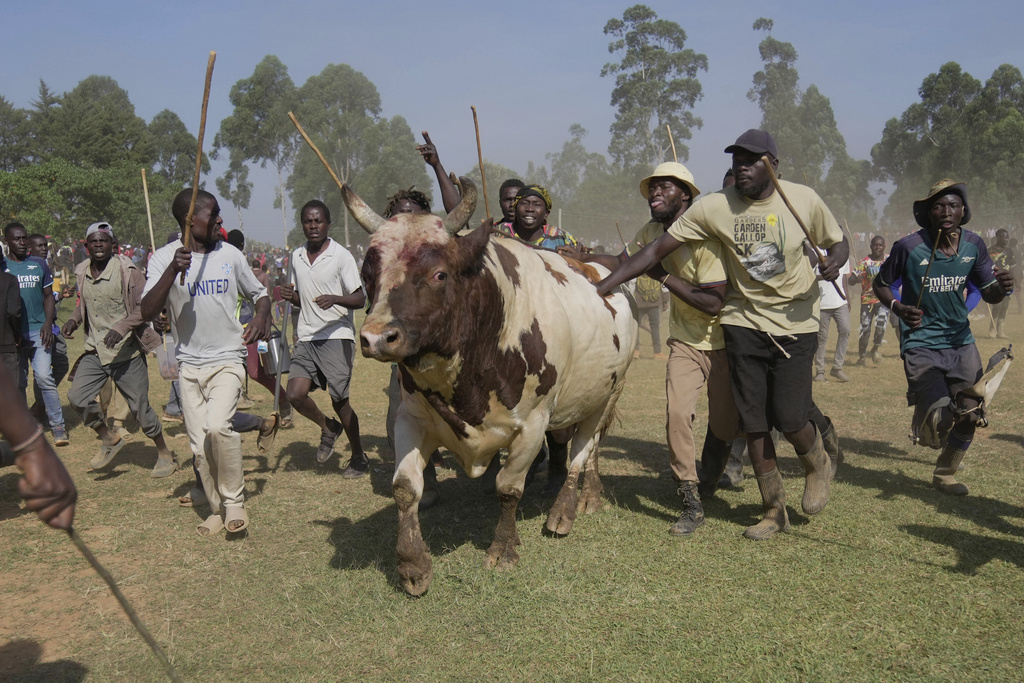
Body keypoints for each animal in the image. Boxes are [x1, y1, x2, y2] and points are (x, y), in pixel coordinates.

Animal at [342, 177, 638, 596]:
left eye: (439, 274)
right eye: (368, 275)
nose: (376, 338)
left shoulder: (532, 425)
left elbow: (508, 488)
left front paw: (504, 548)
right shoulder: (410, 418)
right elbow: (404, 488)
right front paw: (413, 564)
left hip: (609, 392)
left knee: (583, 449)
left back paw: (563, 510)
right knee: (587, 447)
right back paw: (590, 497)